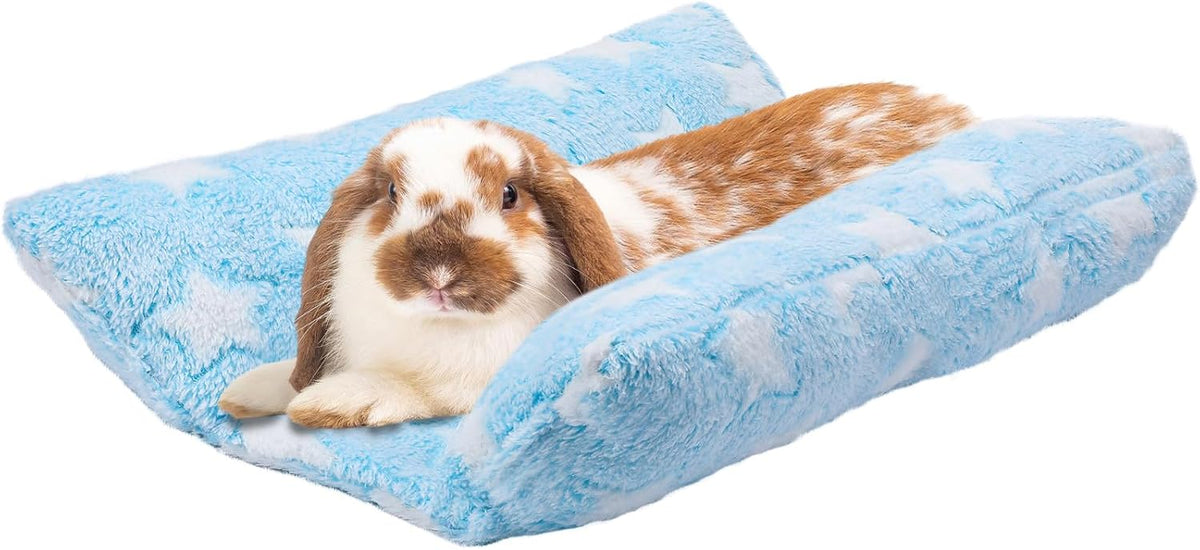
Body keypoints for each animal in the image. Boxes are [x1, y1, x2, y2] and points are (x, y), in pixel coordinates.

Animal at [218, 83, 974, 428]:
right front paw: (248, 391)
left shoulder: (469, 384)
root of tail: (951, 111)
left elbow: (415, 391)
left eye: (511, 194)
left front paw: (333, 402)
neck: (435, 329)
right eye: (391, 193)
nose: (439, 272)